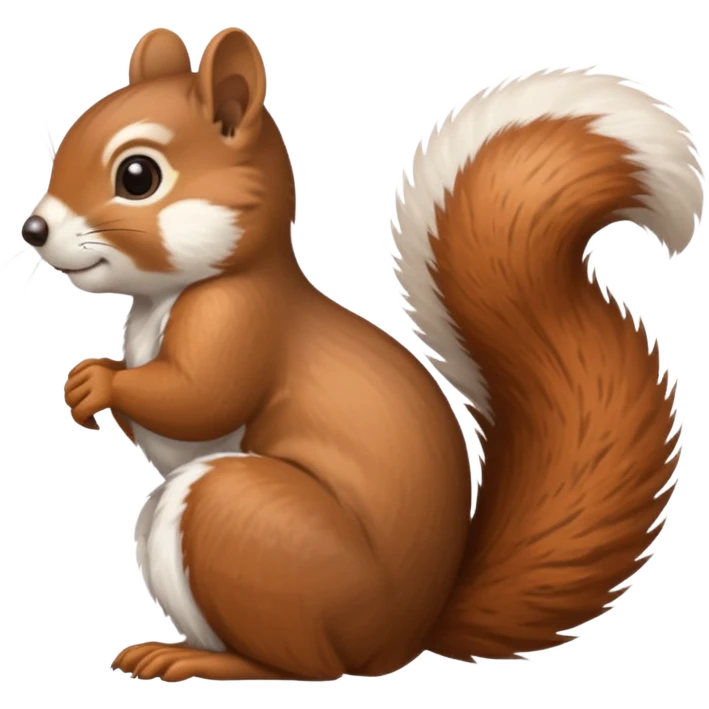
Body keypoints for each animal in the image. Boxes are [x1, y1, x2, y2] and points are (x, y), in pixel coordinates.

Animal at [21, 28, 702, 683]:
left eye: (137, 176)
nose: (34, 230)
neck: (165, 298)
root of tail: (404, 638)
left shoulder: (240, 321)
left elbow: (201, 399)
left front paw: (100, 381)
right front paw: (90, 379)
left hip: (248, 526)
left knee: (309, 666)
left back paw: (208, 663)